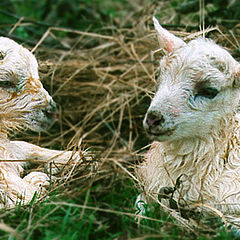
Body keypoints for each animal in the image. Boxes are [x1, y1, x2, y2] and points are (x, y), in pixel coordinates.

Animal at [0, 36, 85, 207]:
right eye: (5, 82)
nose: (52, 111)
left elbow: (27, 147)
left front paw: (83, 157)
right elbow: (29, 194)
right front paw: (42, 179)